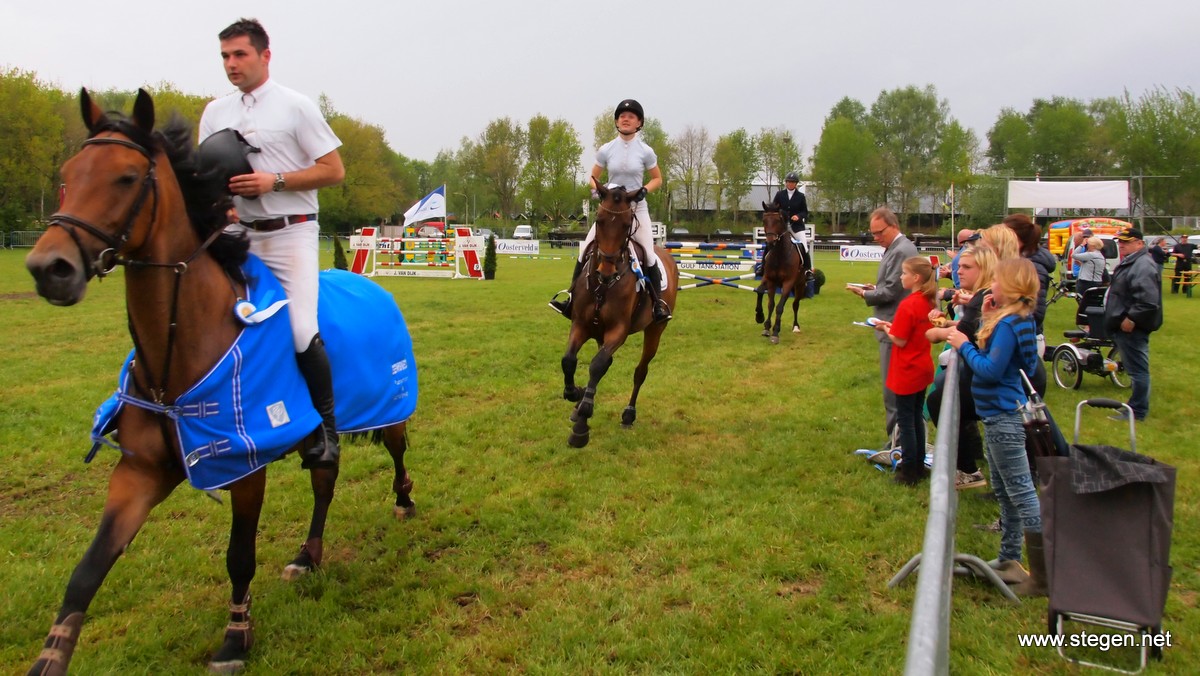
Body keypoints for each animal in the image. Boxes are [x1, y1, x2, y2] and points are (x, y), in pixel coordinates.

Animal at [22, 88, 417, 672]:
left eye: (126, 177)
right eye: (69, 173)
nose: (50, 268)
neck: (177, 355)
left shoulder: (246, 470)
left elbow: (239, 557)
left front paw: (236, 637)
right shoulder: (138, 473)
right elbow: (88, 569)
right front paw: (51, 656)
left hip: (390, 407)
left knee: (396, 449)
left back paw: (404, 500)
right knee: (325, 478)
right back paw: (308, 555)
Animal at [559, 183, 676, 449]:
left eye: (625, 225)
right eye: (599, 221)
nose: (606, 271)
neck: (603, 286)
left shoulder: (618, 331)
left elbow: (597, 365)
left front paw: (581, 425)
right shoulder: (581, 324)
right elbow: (569, 361)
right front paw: (576, 395)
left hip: (655, 330)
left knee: (640, 371)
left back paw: (628, 415)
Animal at [753, 204, 811, 343]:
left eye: (778, 220)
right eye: (764, 220)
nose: (770, 242)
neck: (780, 254)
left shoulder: (788, 283)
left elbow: (779, 307)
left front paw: (775, 332)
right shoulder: (770, 280)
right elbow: (769, 302)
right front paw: (764, 323)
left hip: (800, 285)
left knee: (795, 304)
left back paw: (796, 326)